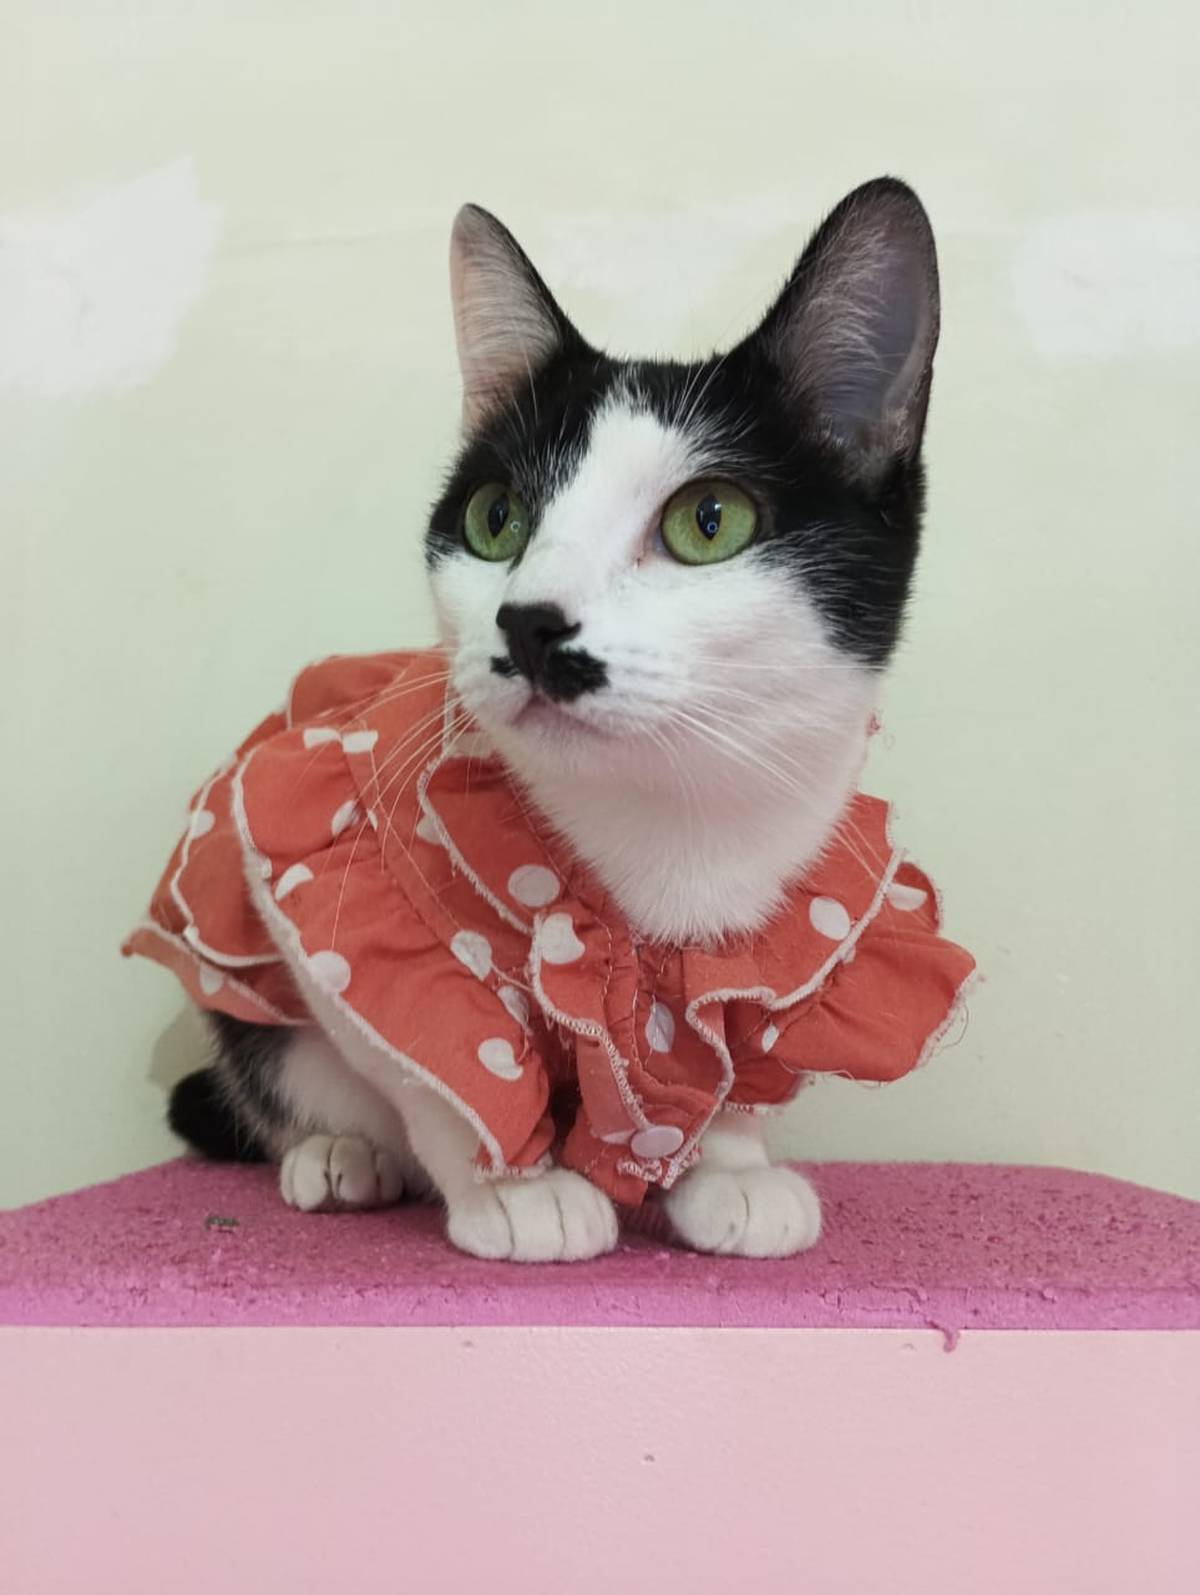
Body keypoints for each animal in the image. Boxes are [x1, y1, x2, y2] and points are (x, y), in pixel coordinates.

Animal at [161, 176, 944, 1262]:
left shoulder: (783, 950)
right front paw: (514, 1186)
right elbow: (437, 1058)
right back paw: (338, 1153)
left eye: (710, 521)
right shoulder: (327, 893)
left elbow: (729, 1057)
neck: (672, 822)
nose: (527, 620)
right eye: (497, 518)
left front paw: (732, 1169)